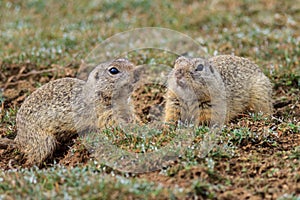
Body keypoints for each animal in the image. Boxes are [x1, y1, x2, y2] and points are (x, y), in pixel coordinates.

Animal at [5, 57, 139, 166]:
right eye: (113, 70)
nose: (137, 73)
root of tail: (19, 138)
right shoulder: (104, 113)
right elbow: (112, 124)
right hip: (43, 141)